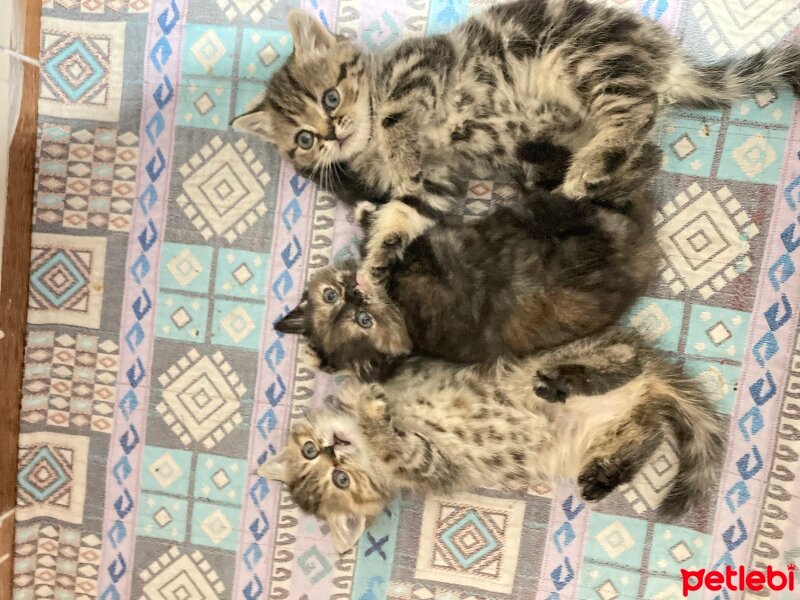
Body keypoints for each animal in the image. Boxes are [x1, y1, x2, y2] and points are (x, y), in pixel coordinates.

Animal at [260, 328, 724, 552]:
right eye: (339, 480)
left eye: (309, 451)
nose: (332, 451)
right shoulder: (431, 463)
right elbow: (399, 443)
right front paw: (372, 413)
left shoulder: (410, 365)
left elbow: (370, 369)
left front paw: (338, 374)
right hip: (608, 432)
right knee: (647, 431)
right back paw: (601, 475)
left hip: (549, 355)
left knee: (621, 361)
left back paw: (564, 381)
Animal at [276, 144, 664, 380]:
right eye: (364, 321)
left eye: (330, 295)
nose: (355, 293)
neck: (401, 306)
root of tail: (644, 251)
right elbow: (387, 206)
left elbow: (373, 196)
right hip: (556, 216)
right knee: (595, 193)